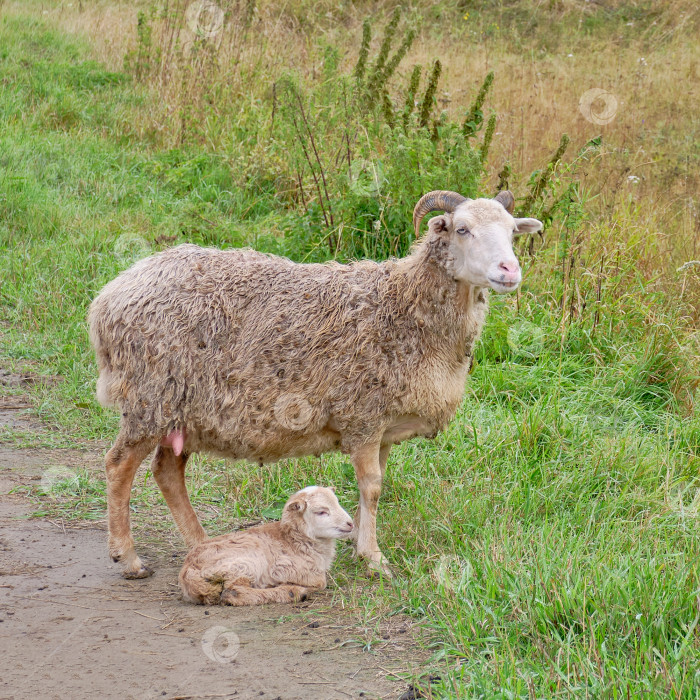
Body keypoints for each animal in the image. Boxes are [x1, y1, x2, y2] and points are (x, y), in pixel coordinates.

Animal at [89, 189, 548, 576]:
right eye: (461, 229)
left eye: (512, 231)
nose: (509, 270)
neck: (405, 308)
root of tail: (108, 297)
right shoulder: (363, 415)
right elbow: (373, 487)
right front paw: (374, 558)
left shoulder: (382, 426)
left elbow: (373, 486)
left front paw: (359, 541)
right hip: (152, 397)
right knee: (118, 466)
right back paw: (128, 558)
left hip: (183, 410)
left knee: (167, 471)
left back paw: (202, 544)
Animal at [178, 486, 352, 608]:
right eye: (321, 512)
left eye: (337, 503)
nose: (350, 523)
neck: (294, 539)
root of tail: (188, 571)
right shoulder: (284, 566)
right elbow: (320, 582)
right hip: (244, 563)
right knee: (232, 592)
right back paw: (293, 593)